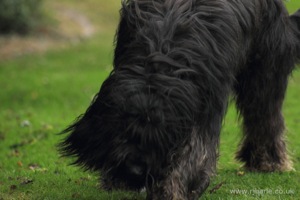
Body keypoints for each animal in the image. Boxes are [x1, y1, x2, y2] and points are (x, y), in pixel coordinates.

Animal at [59, 0, 300, 199]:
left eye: (160, 139)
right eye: (124, 132)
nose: (136, 171)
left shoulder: (206, 100)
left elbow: (195, 150)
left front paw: (172, 188)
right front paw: (117, 179)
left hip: (265, 66)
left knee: (264, 112)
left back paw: (268, 162)